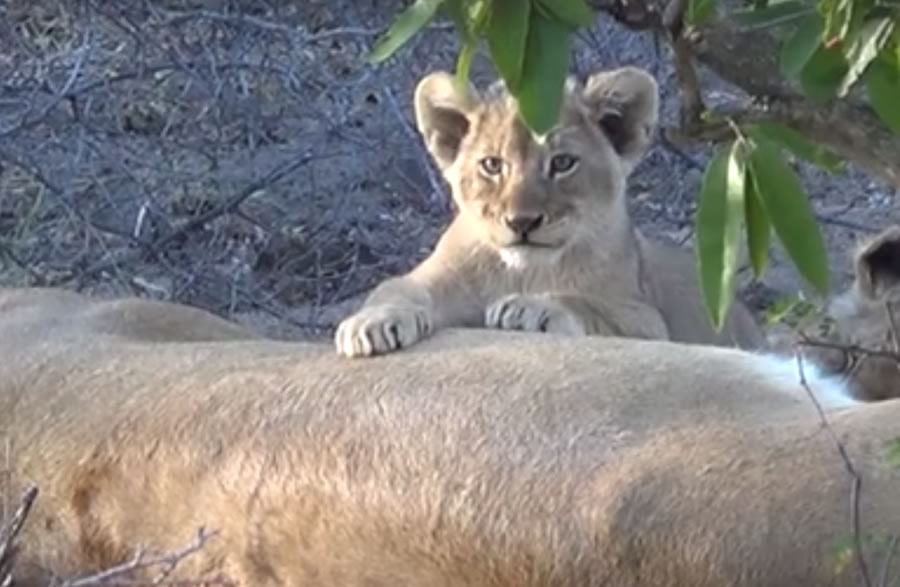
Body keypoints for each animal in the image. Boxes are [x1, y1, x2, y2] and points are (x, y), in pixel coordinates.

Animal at [335, 66, 765, 357]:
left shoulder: (647, 321)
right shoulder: (436, 278)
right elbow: (396, 287)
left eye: (562, 163)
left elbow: (587, 305)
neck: (524, 271)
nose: (522, 222)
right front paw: (370, 324)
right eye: (492, 165)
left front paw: (530, 307)